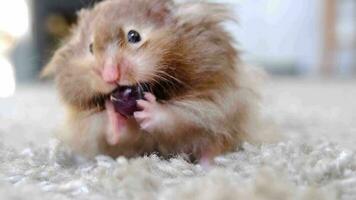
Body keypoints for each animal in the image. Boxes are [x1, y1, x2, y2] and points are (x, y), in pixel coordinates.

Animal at [43, 0, 262, 162]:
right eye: (90, 47)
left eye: (134, 35)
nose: (110, 76)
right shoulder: (92, 128)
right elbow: (113, 133)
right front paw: (113, 113)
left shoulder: (210, 103)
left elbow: (177, 117)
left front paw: (148, 109)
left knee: (213, 144)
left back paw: (209, 163)